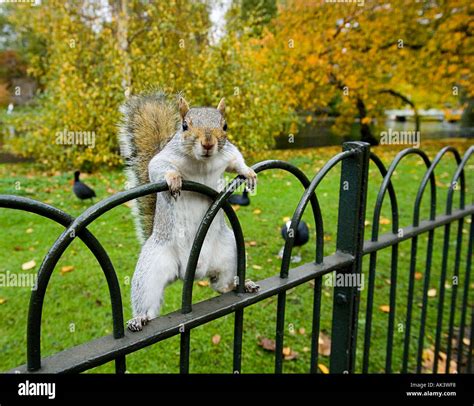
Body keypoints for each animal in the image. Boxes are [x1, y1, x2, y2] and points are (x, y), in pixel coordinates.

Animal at [118, 90, 260, 332]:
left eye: (225, 126)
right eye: (184, 126)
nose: (208, 143)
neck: (202, 162)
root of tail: (190, 272)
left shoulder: (228, 153)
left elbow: (237, 160)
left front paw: (248, 172)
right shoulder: (164, 158)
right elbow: (158, 168)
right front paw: (173, 178)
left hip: (229, 253)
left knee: (220, 285)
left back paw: (240, 285)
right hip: (152, 268)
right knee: (148, 302)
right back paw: (140, 318)